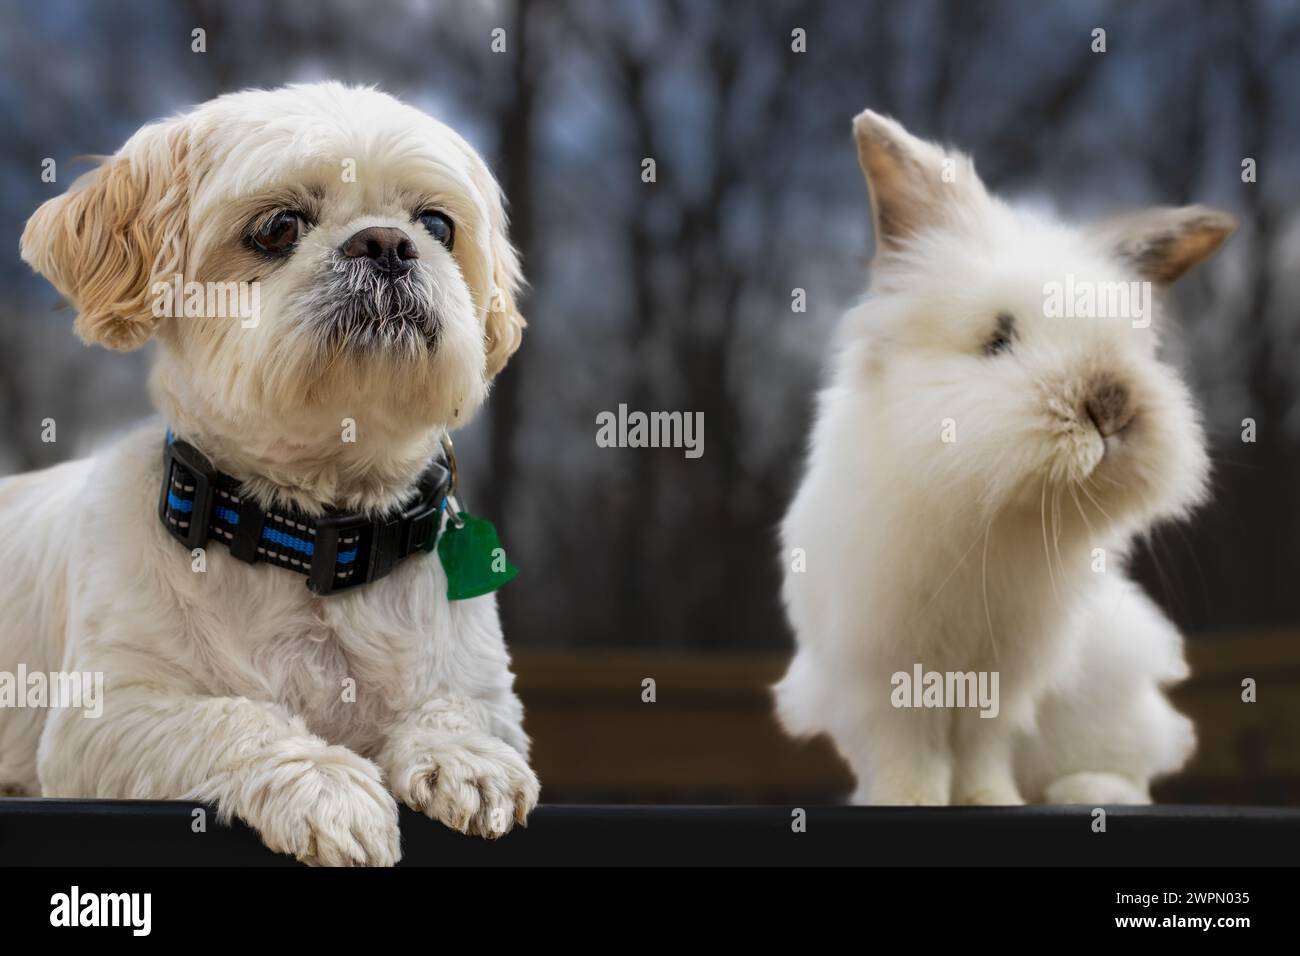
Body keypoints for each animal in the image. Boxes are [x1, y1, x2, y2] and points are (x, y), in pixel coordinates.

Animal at [0, 83, 538, 868]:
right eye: (279, 227)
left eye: (437, 224)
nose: (386, 243)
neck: (313, 539)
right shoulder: (102, 721)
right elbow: (233, 717)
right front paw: (325, 782)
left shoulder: (490, 696)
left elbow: (459, 708)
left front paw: (464, 757)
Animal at [774, 108, 1232, 806]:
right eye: (998, 338)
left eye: (1130, 345)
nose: (1110, 404)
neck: (992, 513)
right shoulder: (886, 663)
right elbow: (910, 747)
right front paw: (908, 800)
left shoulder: (1009, 672)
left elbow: (984, 744)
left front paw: (990, 799)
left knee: (1134, 765)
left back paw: (1090, 790)